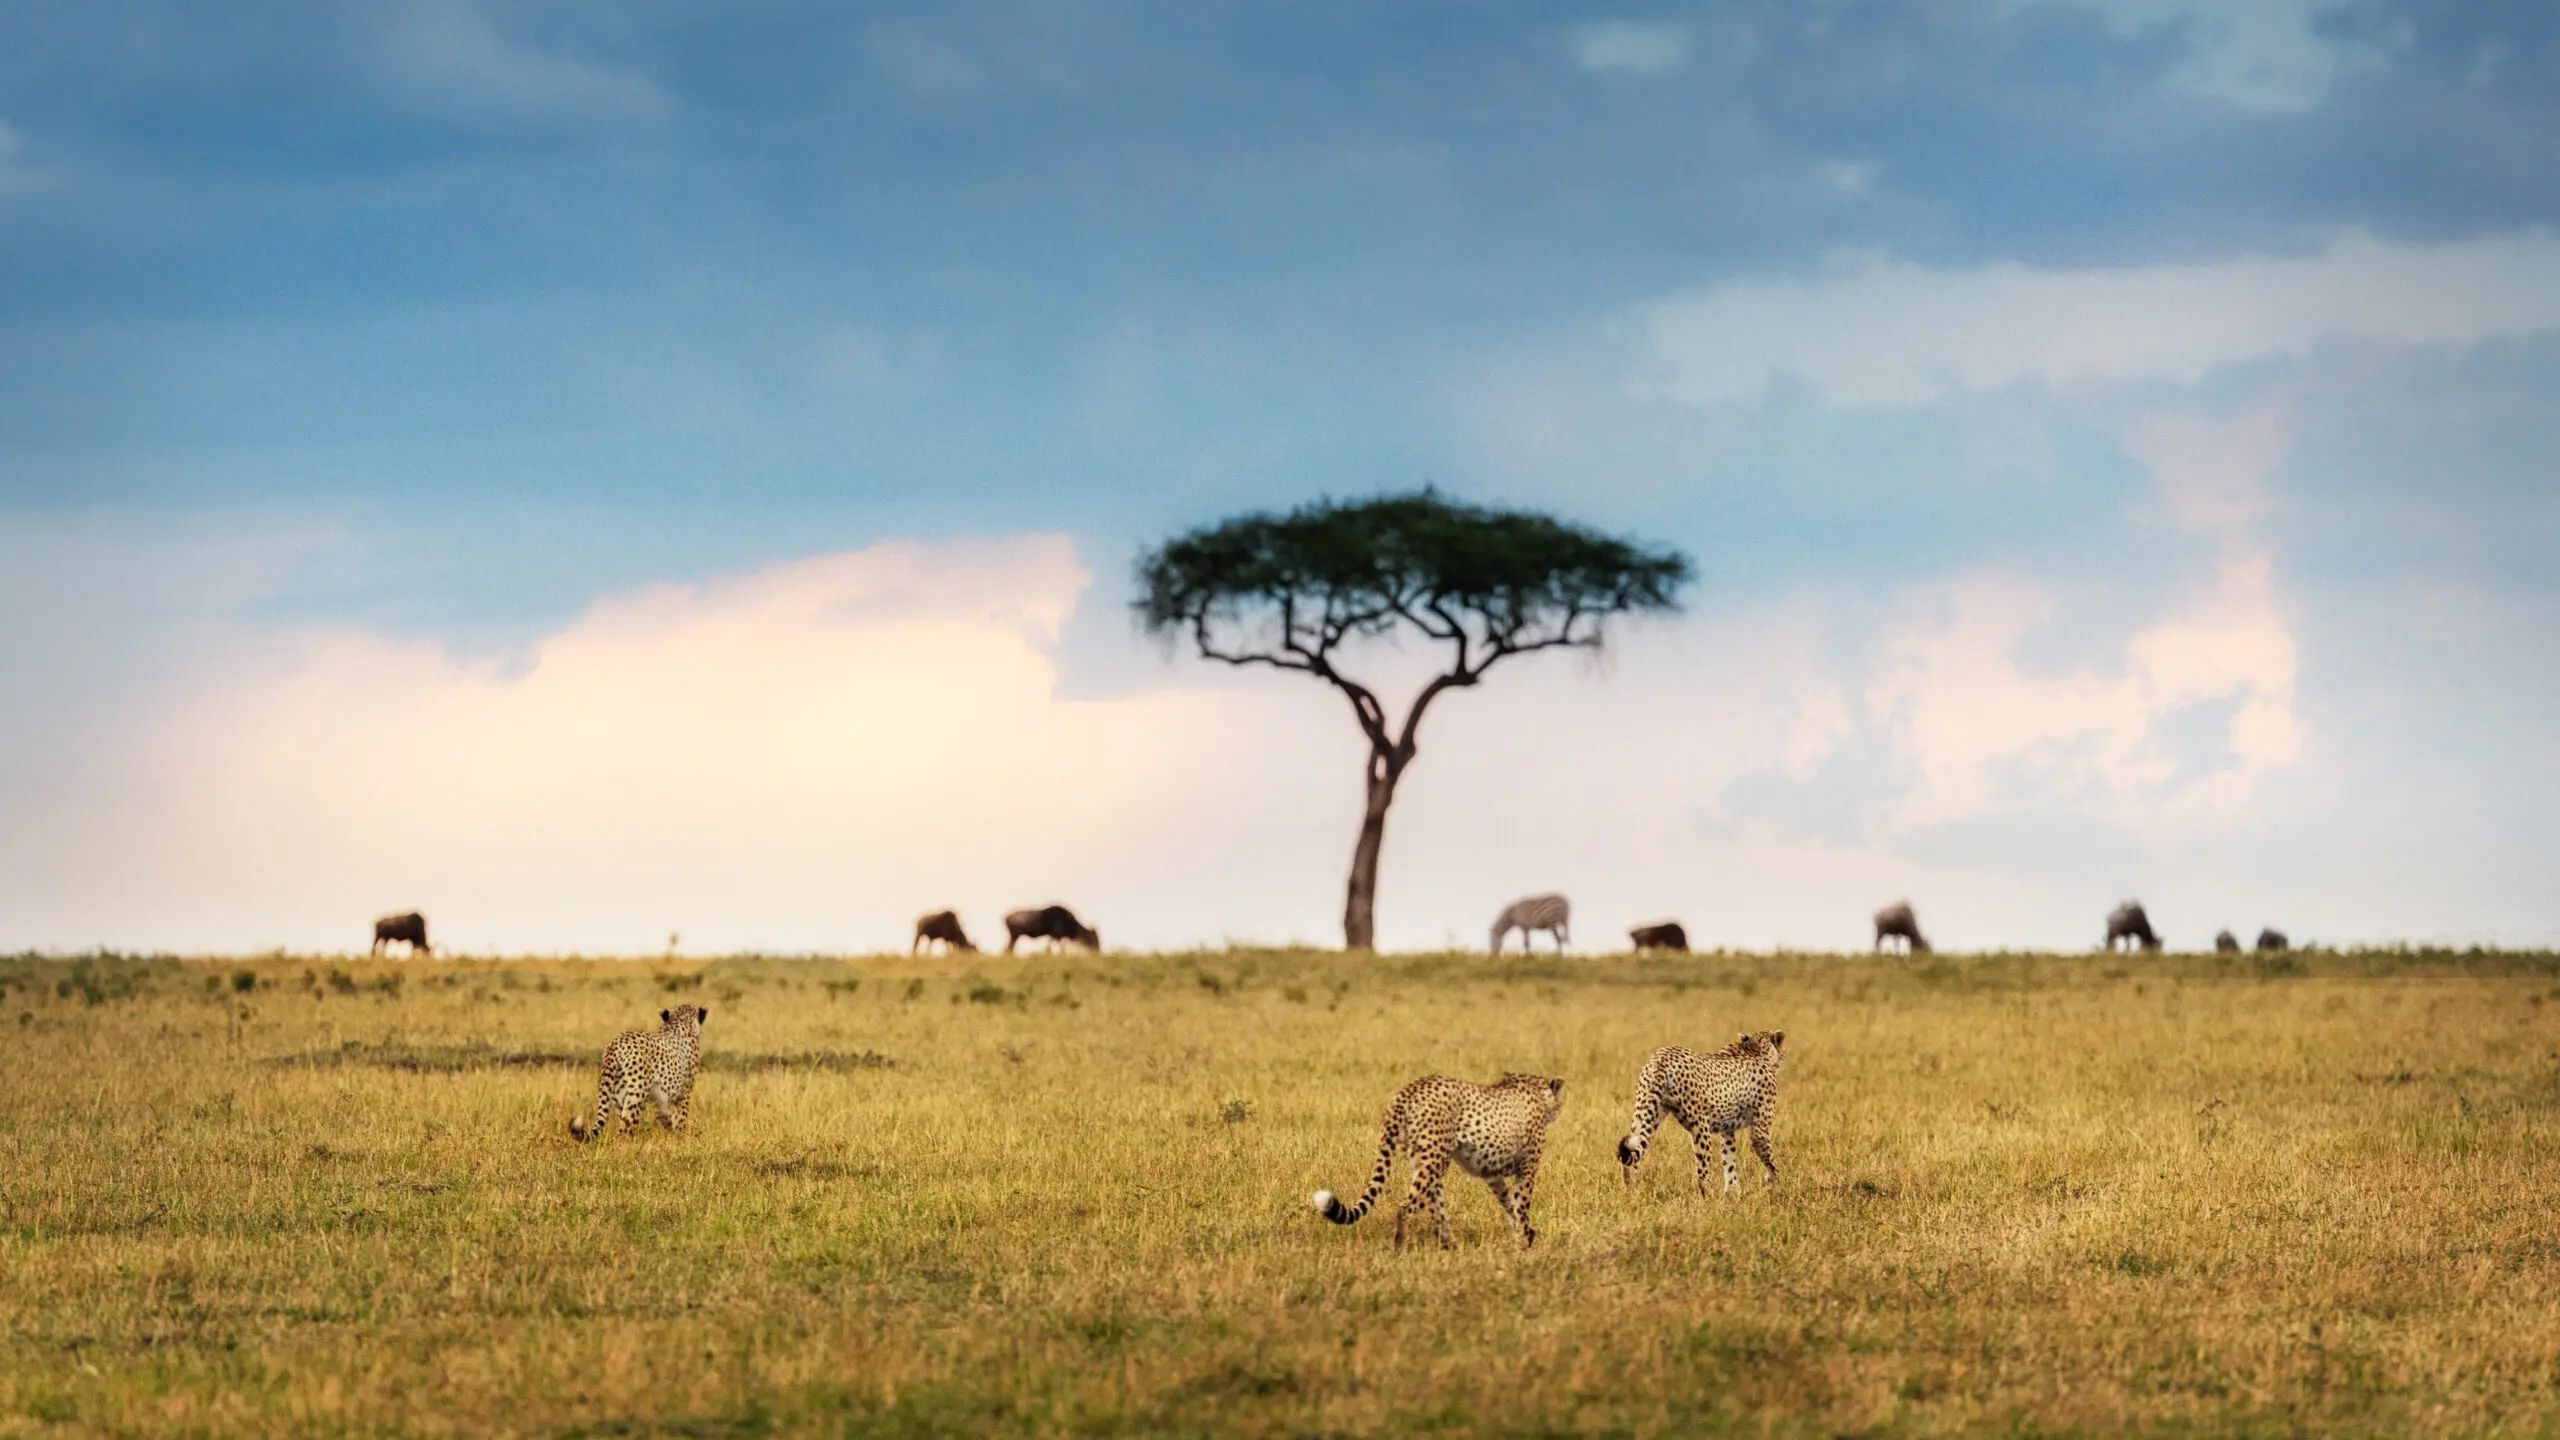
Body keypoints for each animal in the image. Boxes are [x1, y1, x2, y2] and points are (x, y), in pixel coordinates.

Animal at [568, 1004, 706, 1137]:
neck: (679, 1023)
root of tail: (616, 1044)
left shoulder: (659, 1098)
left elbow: (665, 1116)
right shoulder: (684, 1092)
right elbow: (680, 1118)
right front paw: (680, 1137)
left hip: (618, 1096)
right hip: (636, 1096)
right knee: (625, 1130)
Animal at [1310, 1071, 1566, 1240]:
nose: (1560, 1109)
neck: (1537, 1092)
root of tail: (1408, 1090)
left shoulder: (1493, 1175)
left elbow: (1509, 1202)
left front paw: (1522, 1234)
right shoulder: (1527, 1170)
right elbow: (1521, 1205)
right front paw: (1525, 1241)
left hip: (1426, 1160)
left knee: (1436, 1208)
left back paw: (1448, 1247)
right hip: (1435, 1159)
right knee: (1406, 1207)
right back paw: (1401, 1250)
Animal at [1617, 1024, 1781, 1194]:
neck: (1755, 1049)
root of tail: (1662, 1056)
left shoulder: (1727, 1129)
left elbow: (1729, 1160)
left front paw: (1732, 1193)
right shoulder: (1760, 1128)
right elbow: (1769, 1158)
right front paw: (1775, 1186)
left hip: (1647, 1113)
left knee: (1631, 1154)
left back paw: (1631, 1190)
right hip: (1700, 1126)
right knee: (1703, 1172)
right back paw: (1710, 1196)